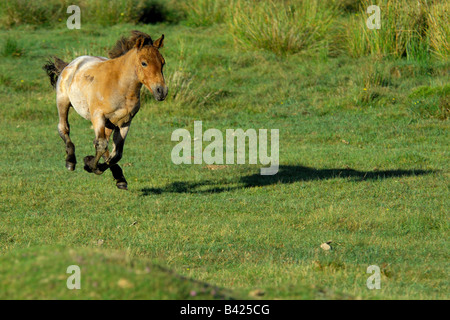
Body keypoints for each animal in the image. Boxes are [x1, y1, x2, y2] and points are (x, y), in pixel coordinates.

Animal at [43, 30, 167, 189]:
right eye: (144, 63)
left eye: (162, 62)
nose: (161, 91)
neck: (119, 85)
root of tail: (71, 64)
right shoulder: (98, 116)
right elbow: (101, 145)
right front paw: (90, 165)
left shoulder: (125, 122)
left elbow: (116, 153)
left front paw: (93, 164)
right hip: (63, 101)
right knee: (64, 128)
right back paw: (70, 161)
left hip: (110, 123)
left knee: (105, 145)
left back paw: (118, 176)